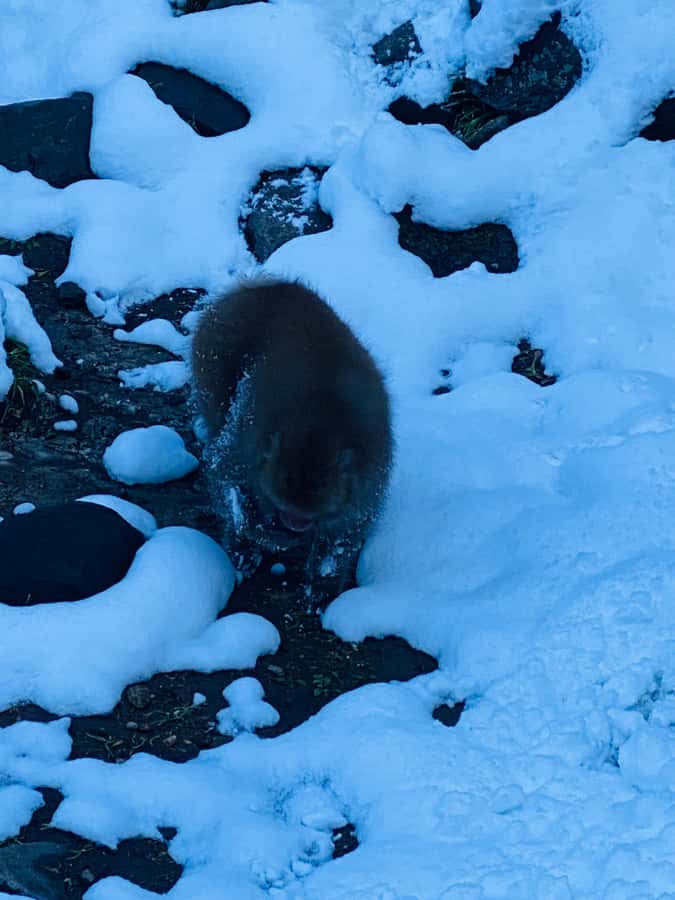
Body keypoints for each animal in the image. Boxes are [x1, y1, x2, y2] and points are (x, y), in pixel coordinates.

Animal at [191, 278, 393, 604]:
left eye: (319, 489)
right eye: (286, 484)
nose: (294, 521)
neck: (321, 420)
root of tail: (265, 287)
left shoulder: (369, 473)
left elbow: (346, 529)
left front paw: (323, 584)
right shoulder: (247, 441)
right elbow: (225, 477)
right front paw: (260, 534)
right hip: (211, 356)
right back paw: (242, 550)